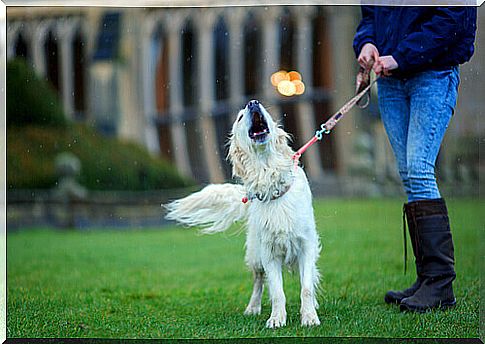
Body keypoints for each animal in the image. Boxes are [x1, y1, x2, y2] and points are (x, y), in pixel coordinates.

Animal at [164, 99, 320, 328]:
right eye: (239, 118)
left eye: (263, 109)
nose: (253, 102)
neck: (269, 177)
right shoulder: (268, 253)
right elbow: (277, 292)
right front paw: (276, 318)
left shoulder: (307, 245)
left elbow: (306, 287)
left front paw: (309, 316)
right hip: (255, 254)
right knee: (258, 281)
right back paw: (252, 308)